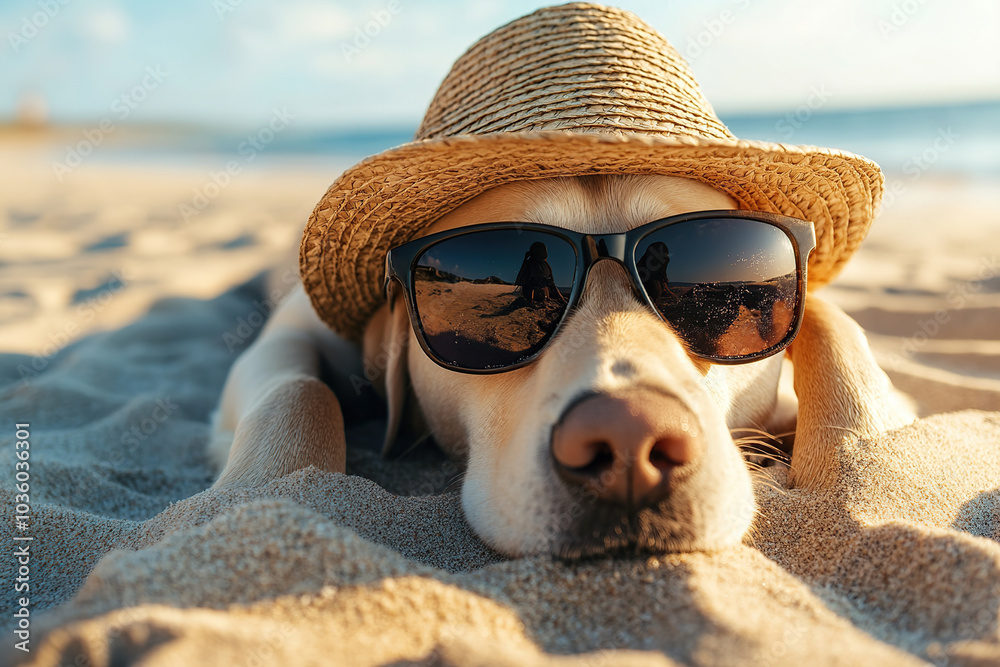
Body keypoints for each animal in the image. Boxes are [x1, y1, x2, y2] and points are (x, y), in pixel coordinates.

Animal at [205, 3, 916, 560]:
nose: (630, 440)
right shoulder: (291, 334)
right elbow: (298, 390)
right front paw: (252, 498)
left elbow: (833, 325)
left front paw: (869, 446)